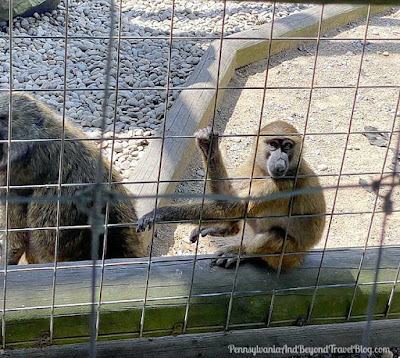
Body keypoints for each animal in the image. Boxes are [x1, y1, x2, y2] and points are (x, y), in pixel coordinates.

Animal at [138, 121, 324, 270]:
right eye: (273, 144)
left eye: (287, 146)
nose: (280, 163)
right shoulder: (254, 166)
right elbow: (228, 197)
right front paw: (209, 146)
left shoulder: (286, 183)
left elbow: (235, 207)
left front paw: (159, 214)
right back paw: (228, 229)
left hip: (288, 257)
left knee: (275, 234)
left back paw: (242, 252)